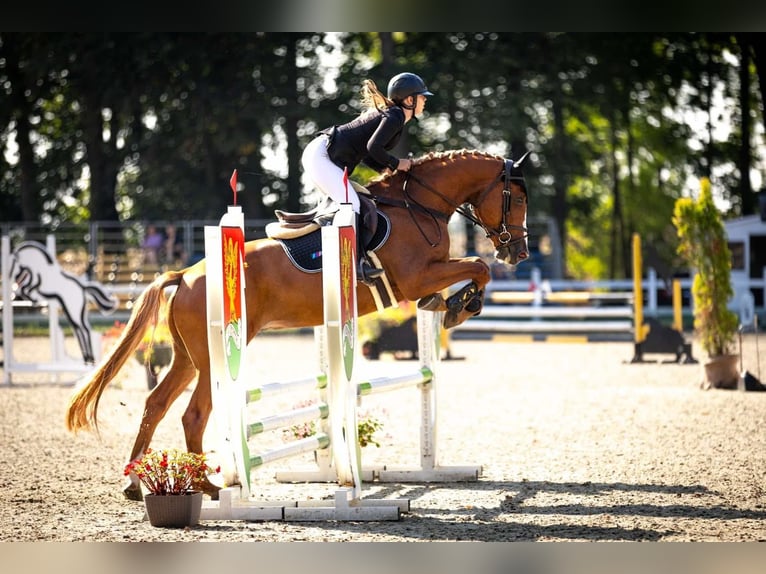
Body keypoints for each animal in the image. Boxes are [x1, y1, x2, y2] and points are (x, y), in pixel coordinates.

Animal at [64, 147, 528, 500]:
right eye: (519, 200)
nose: (518, 252)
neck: (417, 205)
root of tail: (185, 274)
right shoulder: (416, 277)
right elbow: (477, 265)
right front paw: (461, 304)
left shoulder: (427, 274)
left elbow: (471, 268)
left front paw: (452, 303)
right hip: (213, 359)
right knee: (194, 415)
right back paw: (209, 485)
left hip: (186, 357)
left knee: (155, 404)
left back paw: (135, 484)